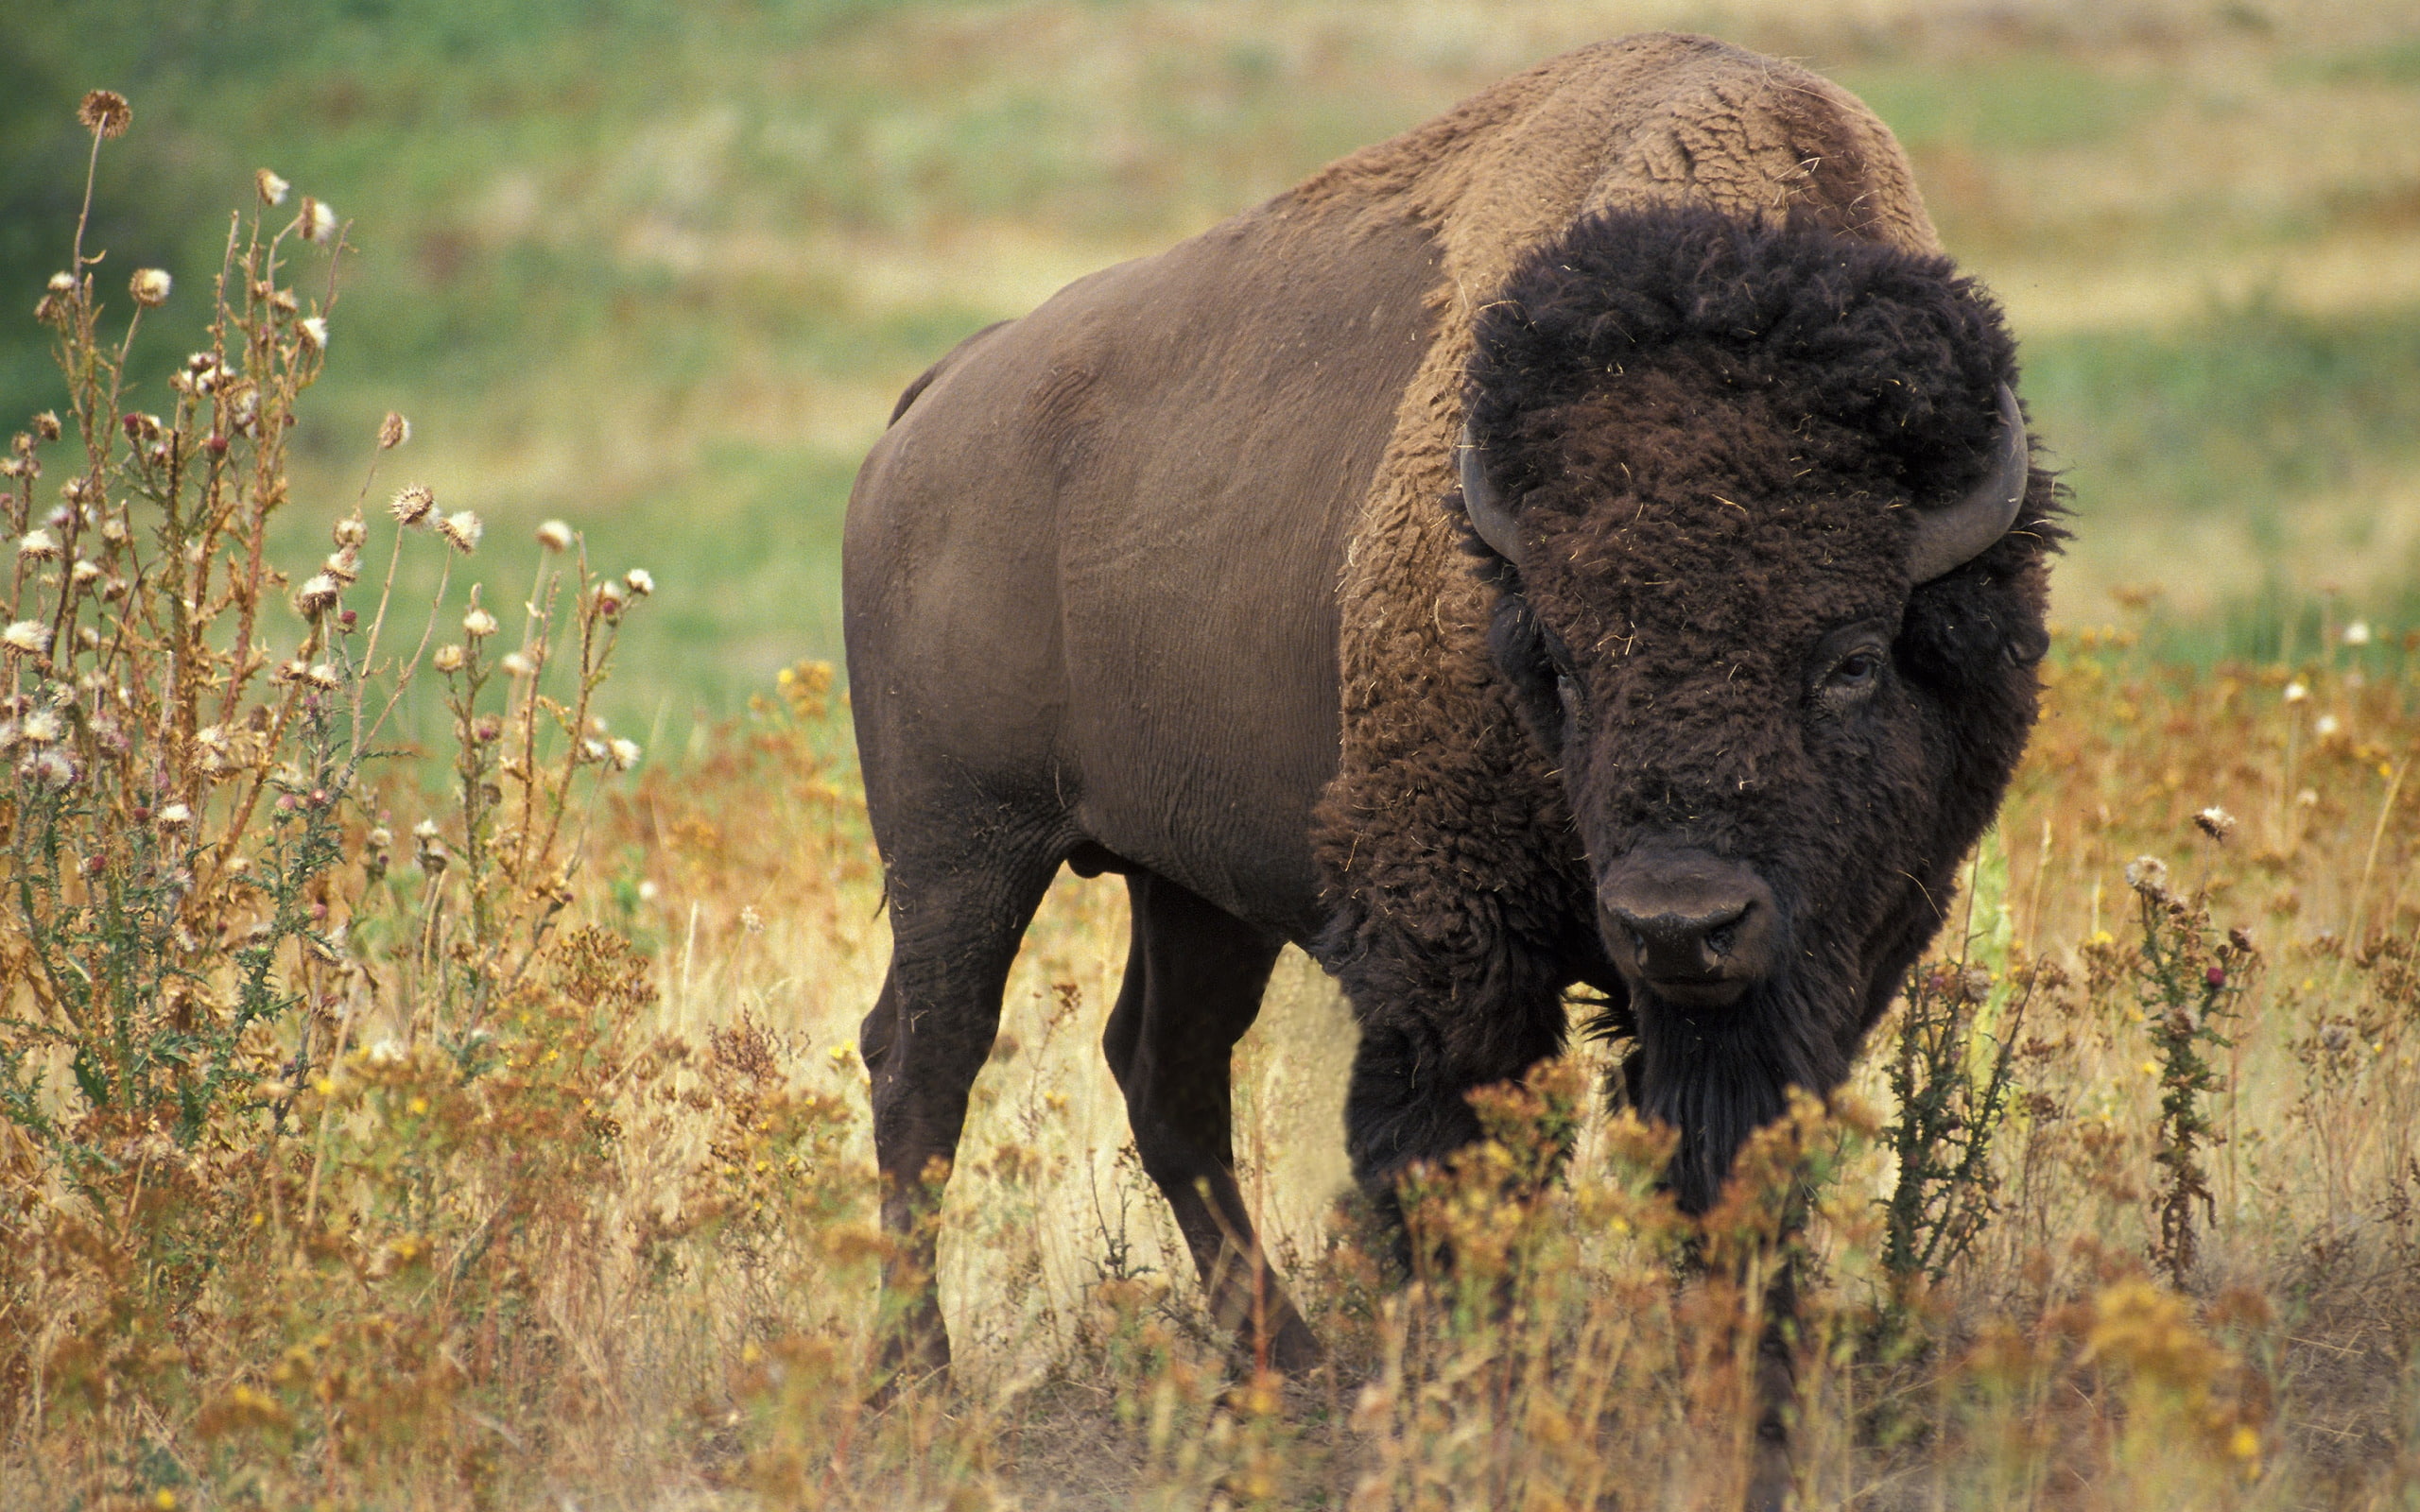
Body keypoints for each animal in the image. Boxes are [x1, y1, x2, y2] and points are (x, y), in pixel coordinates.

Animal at [843, 28, 2056, 1404]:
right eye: (1562, 665)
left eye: (1853, 658)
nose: (1679, 923)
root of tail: (934, 404)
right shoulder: (1451, 932)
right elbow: (1456, 1157)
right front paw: (1483, 1380)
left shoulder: (1836, 949)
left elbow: (1734, 1158)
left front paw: (1751, 1374)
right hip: (961, 848)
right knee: (925, 1062)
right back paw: (919, 1380)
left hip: (1190, 882)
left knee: (1163, 1071)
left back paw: (1286, 1364)